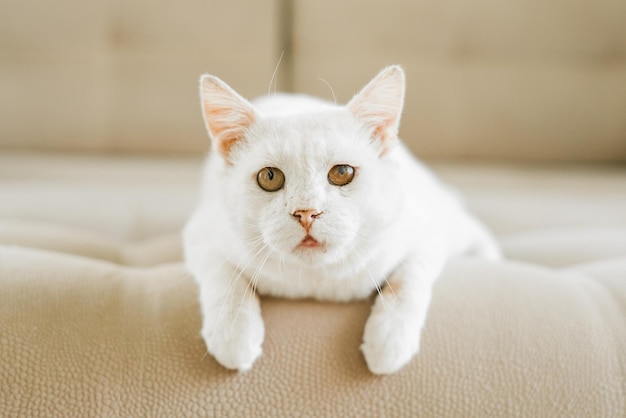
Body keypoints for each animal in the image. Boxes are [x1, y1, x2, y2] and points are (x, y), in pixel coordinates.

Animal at [182, 66, 498, 376]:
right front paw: (233, 336)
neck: (316, 280)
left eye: (342, 172)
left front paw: (388, 341)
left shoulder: (427, 235)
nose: (306, 212)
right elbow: (226, 284)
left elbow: (406, 283)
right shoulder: (200, 235)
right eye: (269, 177)